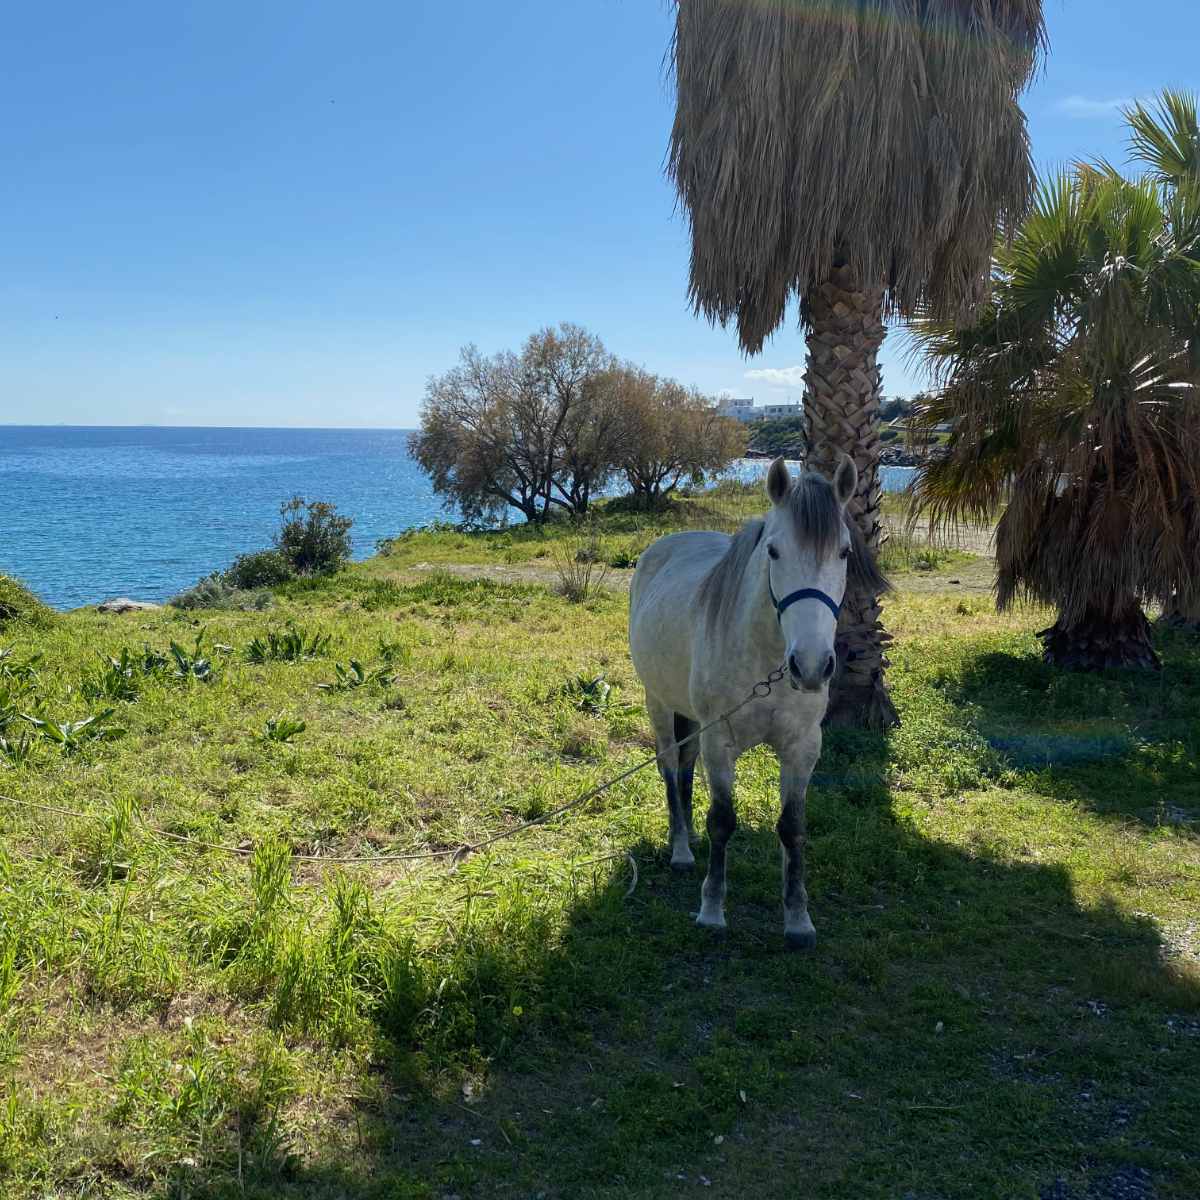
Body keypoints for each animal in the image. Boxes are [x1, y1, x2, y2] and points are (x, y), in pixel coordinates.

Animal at [628, 455, 887, 949]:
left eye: (844, 553)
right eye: (774, 552)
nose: (811, 665)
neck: (767, 658)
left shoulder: (802, 748)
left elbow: (792, 828)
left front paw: (798, 919)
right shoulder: (720, 744)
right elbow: (723, 820)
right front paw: (712, 910)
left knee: (685, 769)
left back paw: (689, 837)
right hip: (660, 705)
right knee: (670, 768)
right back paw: (681, 848)